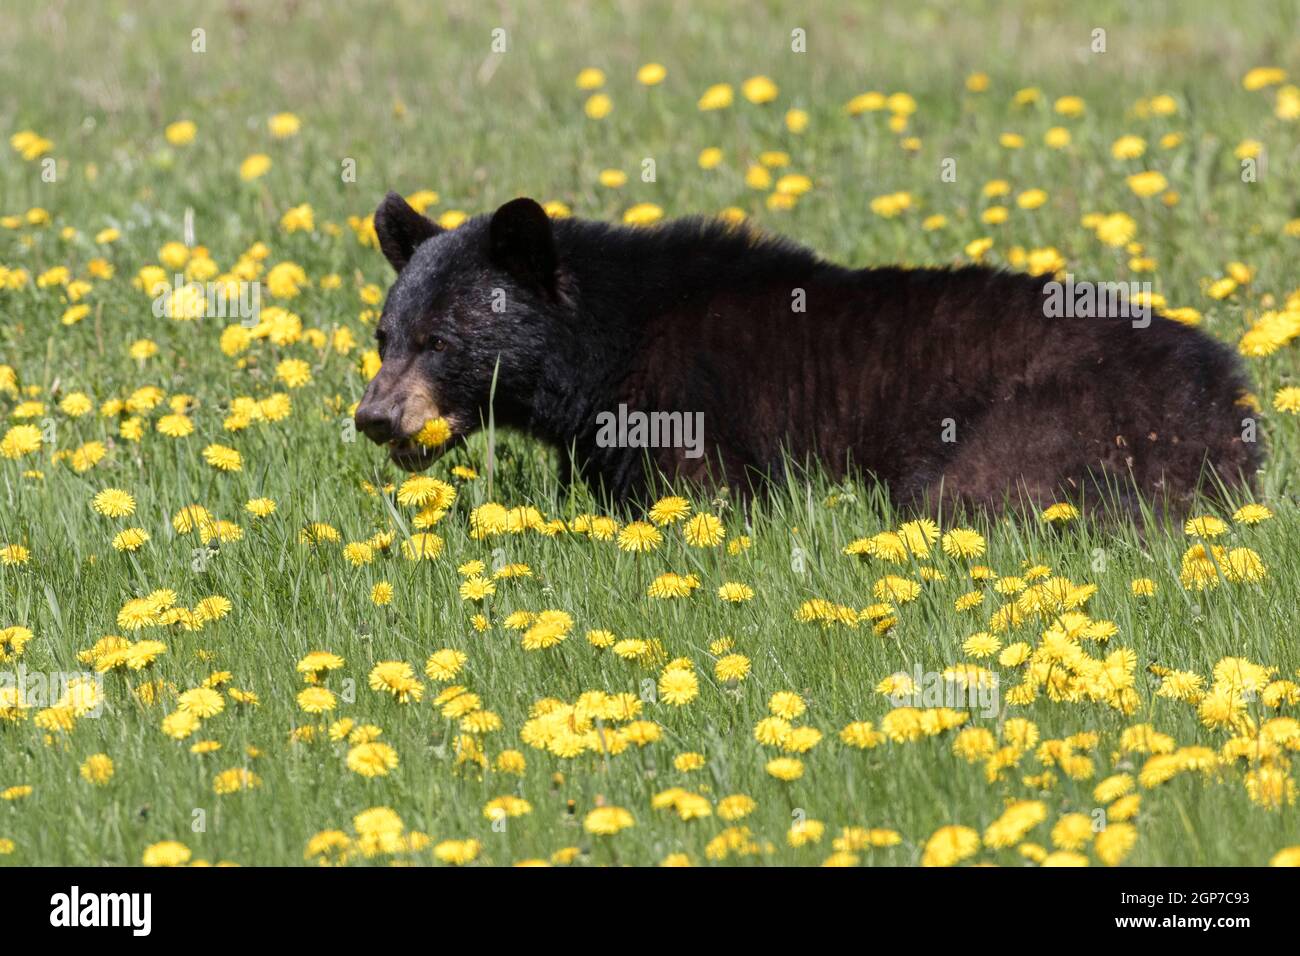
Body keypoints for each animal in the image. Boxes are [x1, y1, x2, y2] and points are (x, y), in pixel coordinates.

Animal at [353, 192, 1258, 515]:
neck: (605, 348)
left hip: (1056, 423)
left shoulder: (688, 409)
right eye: (385, 336)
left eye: (440, 341)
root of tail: (1230, 395)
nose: (373, 417)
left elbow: (704, 498)